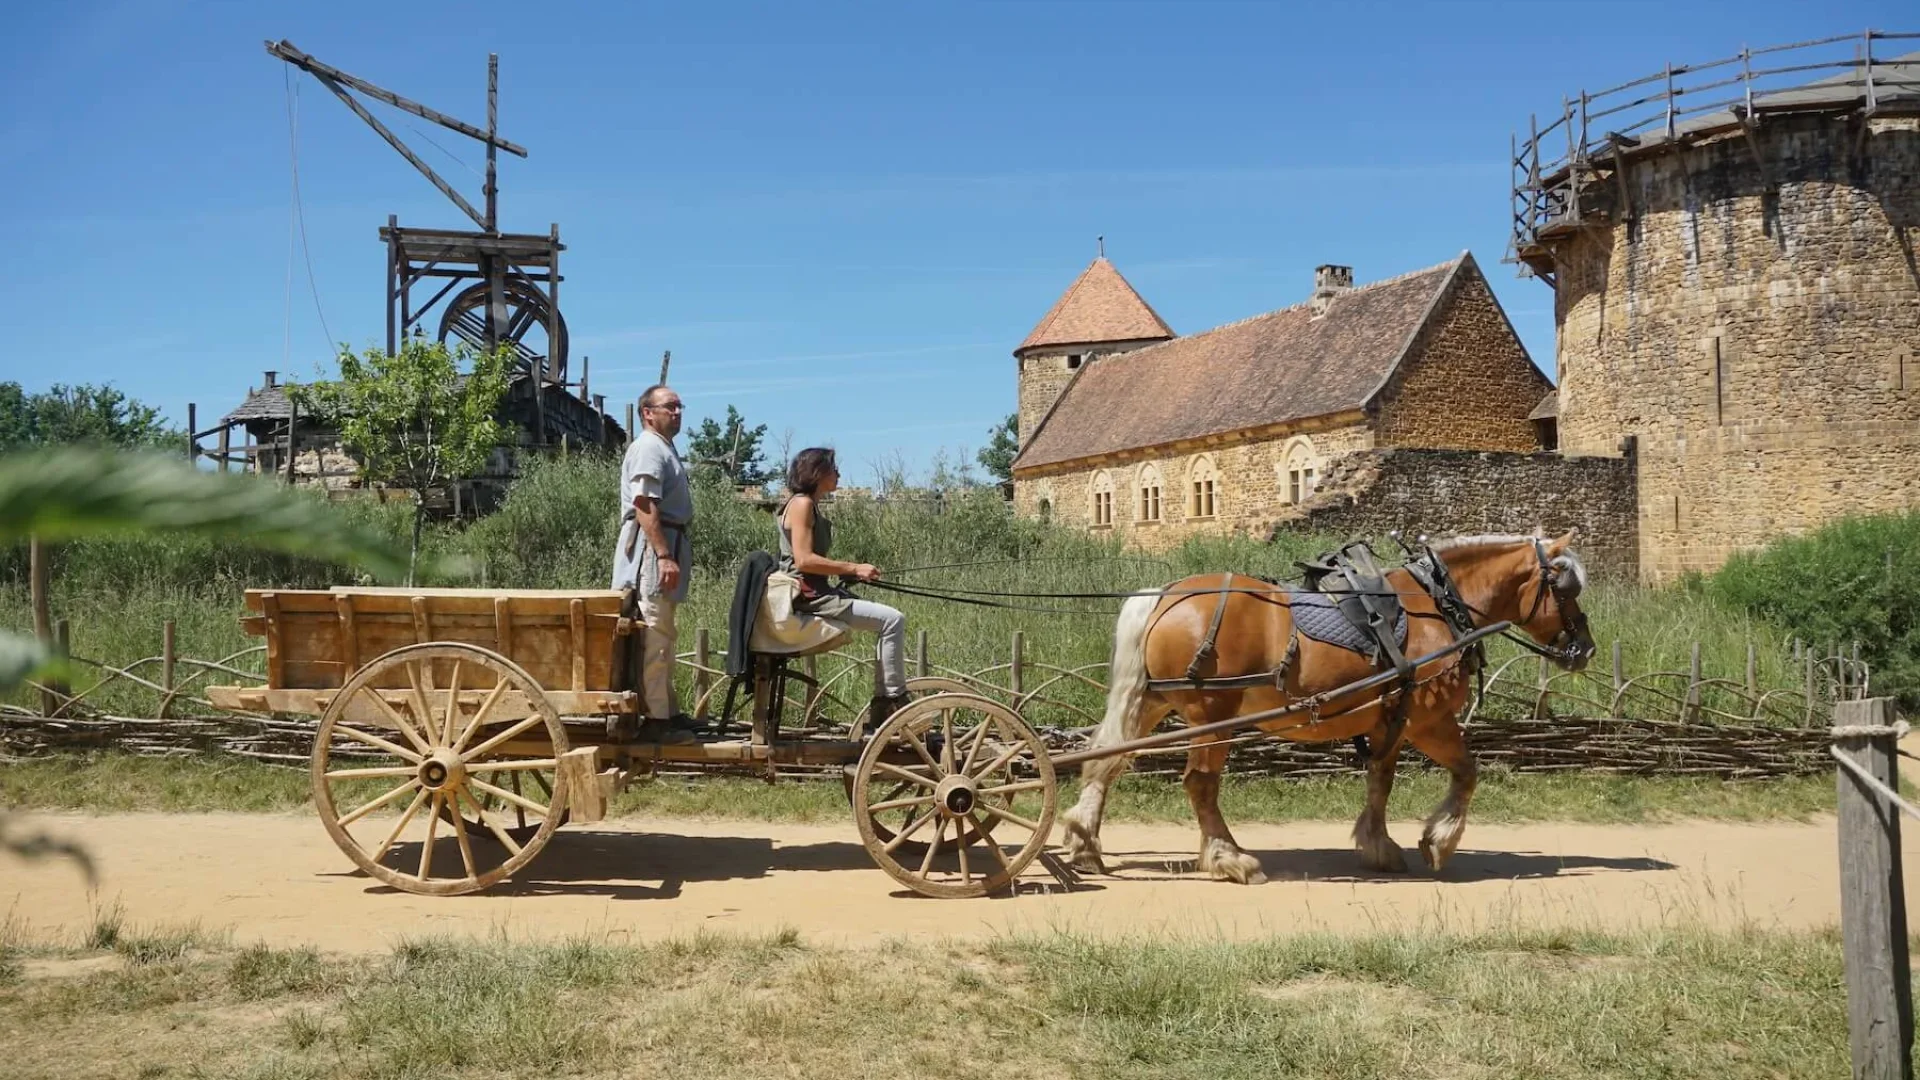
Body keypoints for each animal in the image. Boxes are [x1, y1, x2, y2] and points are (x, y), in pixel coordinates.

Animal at [1059, 526, 1597, 880]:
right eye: (1565, 587)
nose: (1586, 647)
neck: (1436, 604)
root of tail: (1166, 594)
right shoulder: (1429, 720)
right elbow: (1467, 772)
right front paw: (1438, 842)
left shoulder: (1390, 720)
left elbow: (1380, 780)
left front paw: (1378, 845)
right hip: (1212, 716)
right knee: (1200, 784)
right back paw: (1228, 858)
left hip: (1153, 704)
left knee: (1105, 762)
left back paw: (1085, 843)